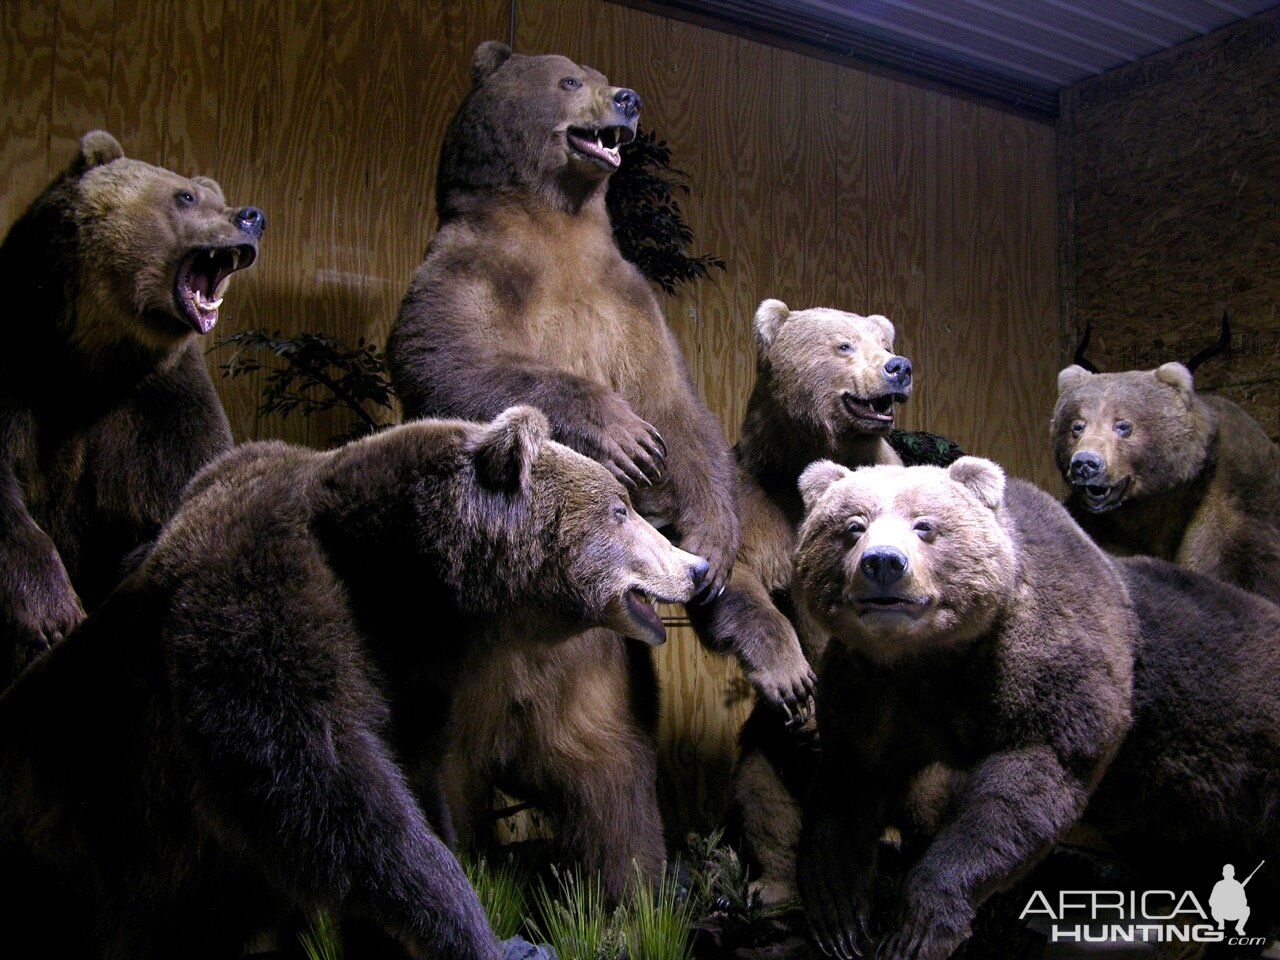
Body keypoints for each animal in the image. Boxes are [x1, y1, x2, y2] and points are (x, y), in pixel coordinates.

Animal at [0, 131, 261, 686]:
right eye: (186, 196)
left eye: (214, 195)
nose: (253, 217)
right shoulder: (18, 360)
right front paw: (51, 613)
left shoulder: (162, 404)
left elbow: (188, 492)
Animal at [384, 39, 808, 901]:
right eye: (569, 77)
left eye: (604, 74)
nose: (629, 98)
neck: (557, 227)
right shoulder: (462, 270)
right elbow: (455, 359)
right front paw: (622, 435)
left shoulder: (630, 303)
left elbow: (680, 409)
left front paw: (708, 538)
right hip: (446, 687)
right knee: (443, 786)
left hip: (609, 679)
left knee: (616, 789)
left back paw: (632, 899)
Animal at [793, 460, 1136, 960]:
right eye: (853, 526)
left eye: (924, 526)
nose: (883, 562)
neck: (929, 655)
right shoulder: (865, 683)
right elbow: (849, 781)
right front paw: (839, 917)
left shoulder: (1037, 665)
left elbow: (1019, 791)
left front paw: (916, 927)